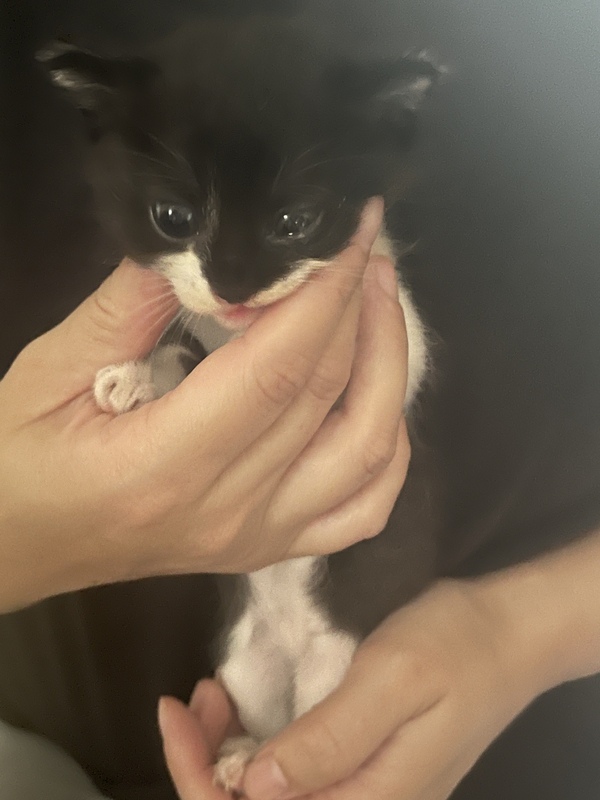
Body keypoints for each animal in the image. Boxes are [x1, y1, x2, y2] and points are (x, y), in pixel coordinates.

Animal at [39, 17, 441, 792]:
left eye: (295, 220)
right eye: (173, 217)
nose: (230, 283)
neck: (236, 332)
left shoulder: (389, 344)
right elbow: (189, 350)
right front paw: (139, 374)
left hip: (336, 663)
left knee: (311, 714)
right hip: (242, 662)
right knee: (266, 705)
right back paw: (247, 750)